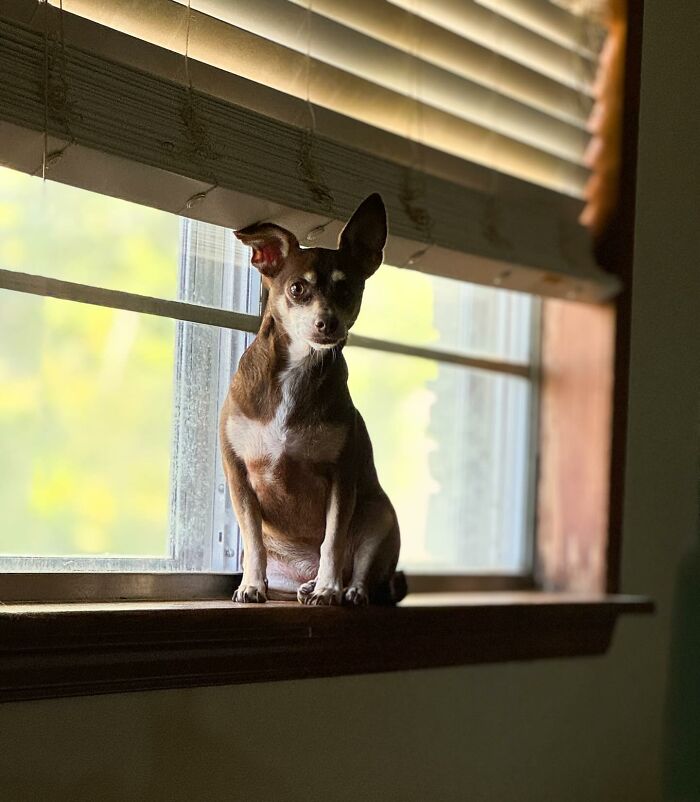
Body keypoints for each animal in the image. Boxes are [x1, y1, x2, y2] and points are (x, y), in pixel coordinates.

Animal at [219, 195, 404, 608]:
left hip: (379, 518)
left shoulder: (342, 478)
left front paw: (328, 589)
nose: (328, 322)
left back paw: (341, 589)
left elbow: (332, 540)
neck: (297, 370)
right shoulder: (238, 475)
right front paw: (251, 585)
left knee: (360, 570)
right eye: (297, 289)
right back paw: (302, 586)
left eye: (348, 291)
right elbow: (254, 540)